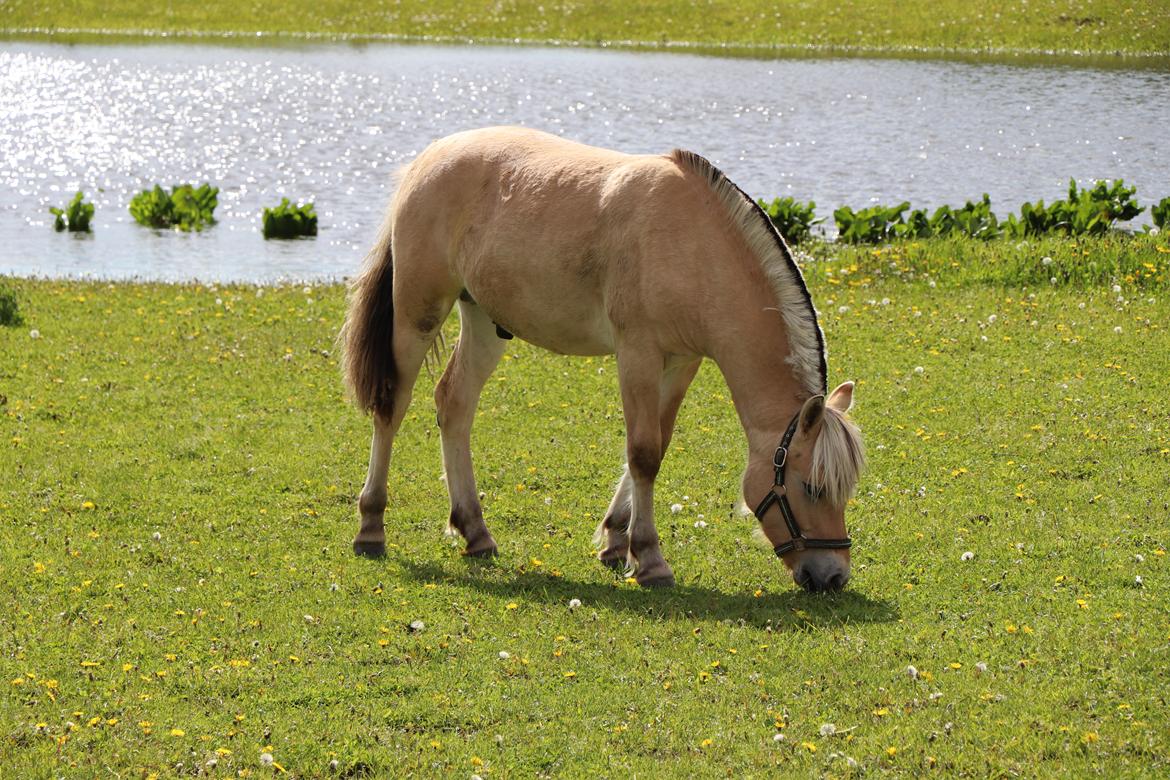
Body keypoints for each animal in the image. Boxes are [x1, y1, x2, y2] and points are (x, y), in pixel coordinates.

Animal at [341, 126, 865, 591]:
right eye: (813, 487)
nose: (832, 576)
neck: (695, 244)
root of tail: (428, 158)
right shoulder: (638, 353)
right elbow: (644, 453)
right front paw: (649, 559)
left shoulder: (682, 362)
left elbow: (660, 443)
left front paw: (616, 541)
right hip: (418, 314)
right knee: (392, 408)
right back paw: (371, 528)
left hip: (485, 323)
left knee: (454, 404)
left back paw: (476, 532)